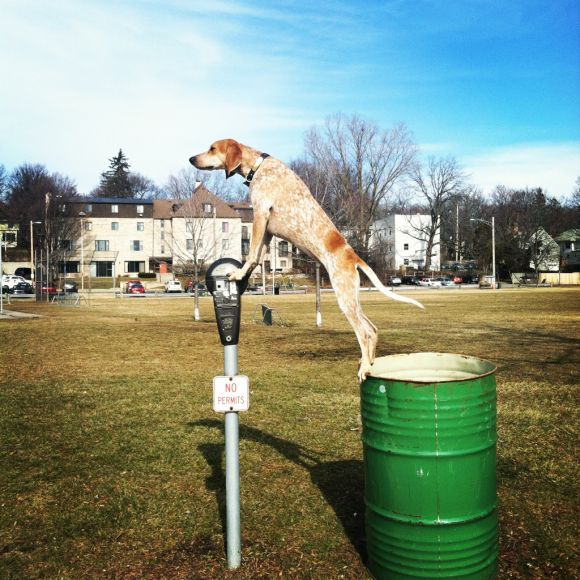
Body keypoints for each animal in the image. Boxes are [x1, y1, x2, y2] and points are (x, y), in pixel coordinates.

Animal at [190, 137, 422, 380]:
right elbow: (257, 257)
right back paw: (368, 363)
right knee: (373, 329)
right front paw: (246, 273)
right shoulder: (268, 230)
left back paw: (365, 368)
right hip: (352, 297)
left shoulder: (260, 214)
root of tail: (354, 256)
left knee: (365, 331)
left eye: (212, 148)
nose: (191, 159)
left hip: (345, 298)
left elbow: (252, 252)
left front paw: (238, 273)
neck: (259, 165)